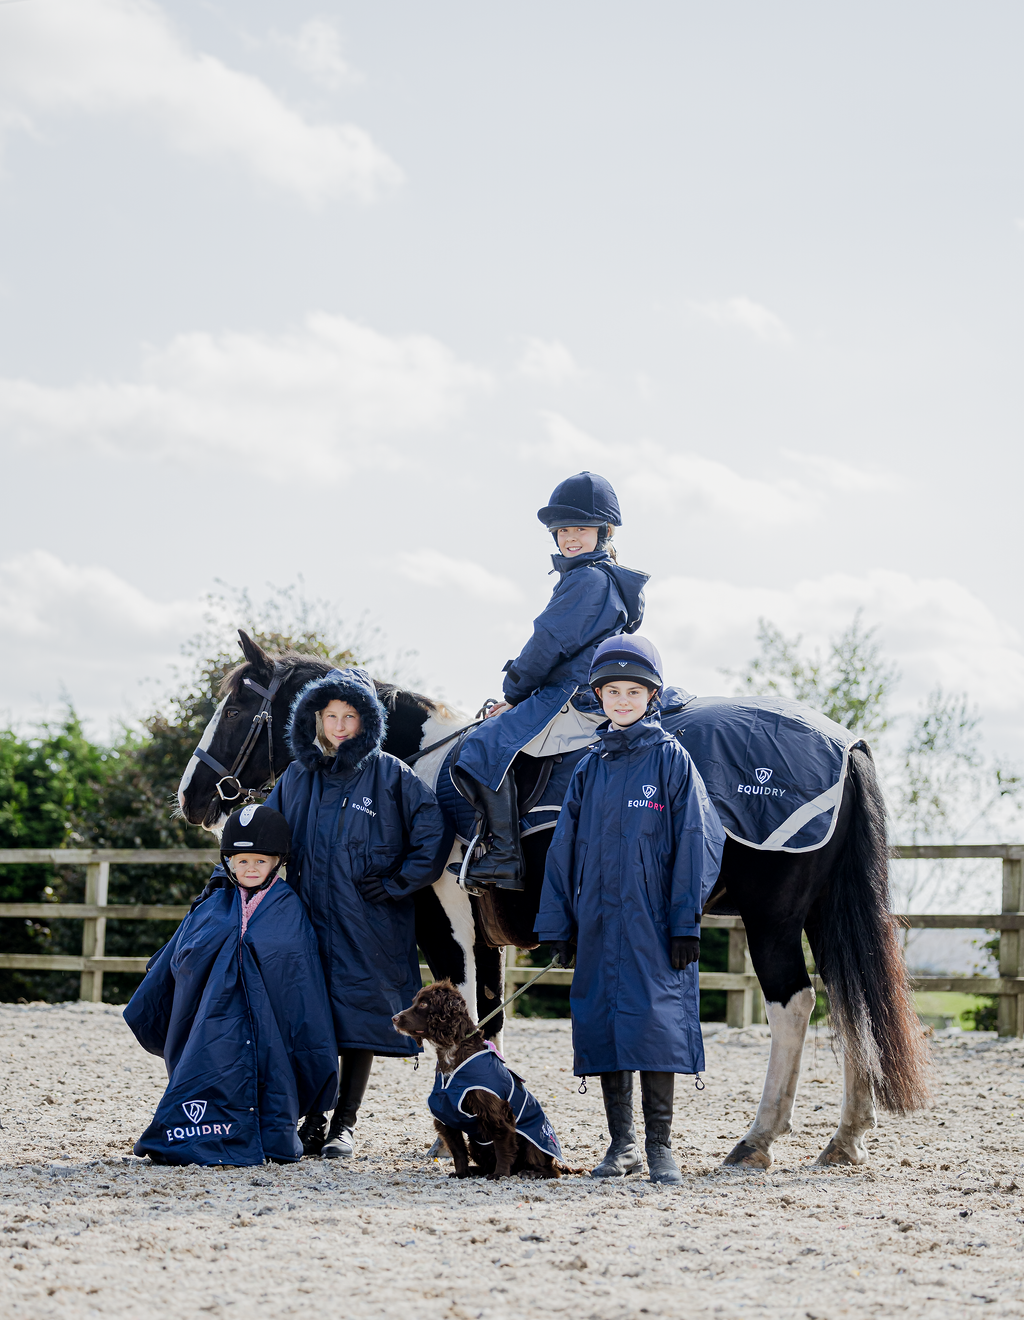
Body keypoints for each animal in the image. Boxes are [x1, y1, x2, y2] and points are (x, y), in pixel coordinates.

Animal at [175, 633, 928, 1172]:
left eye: (237, 704)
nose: (192, 795)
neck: (417, 768)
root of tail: (844, 744)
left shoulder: (447, 926)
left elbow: (466, 1008)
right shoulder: (483, 937)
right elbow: (487, 1017)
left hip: (772, 920)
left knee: (794, 1005)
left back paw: (757, 1140)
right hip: (823, 917)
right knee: (848, 1000)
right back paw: (846, 1138)